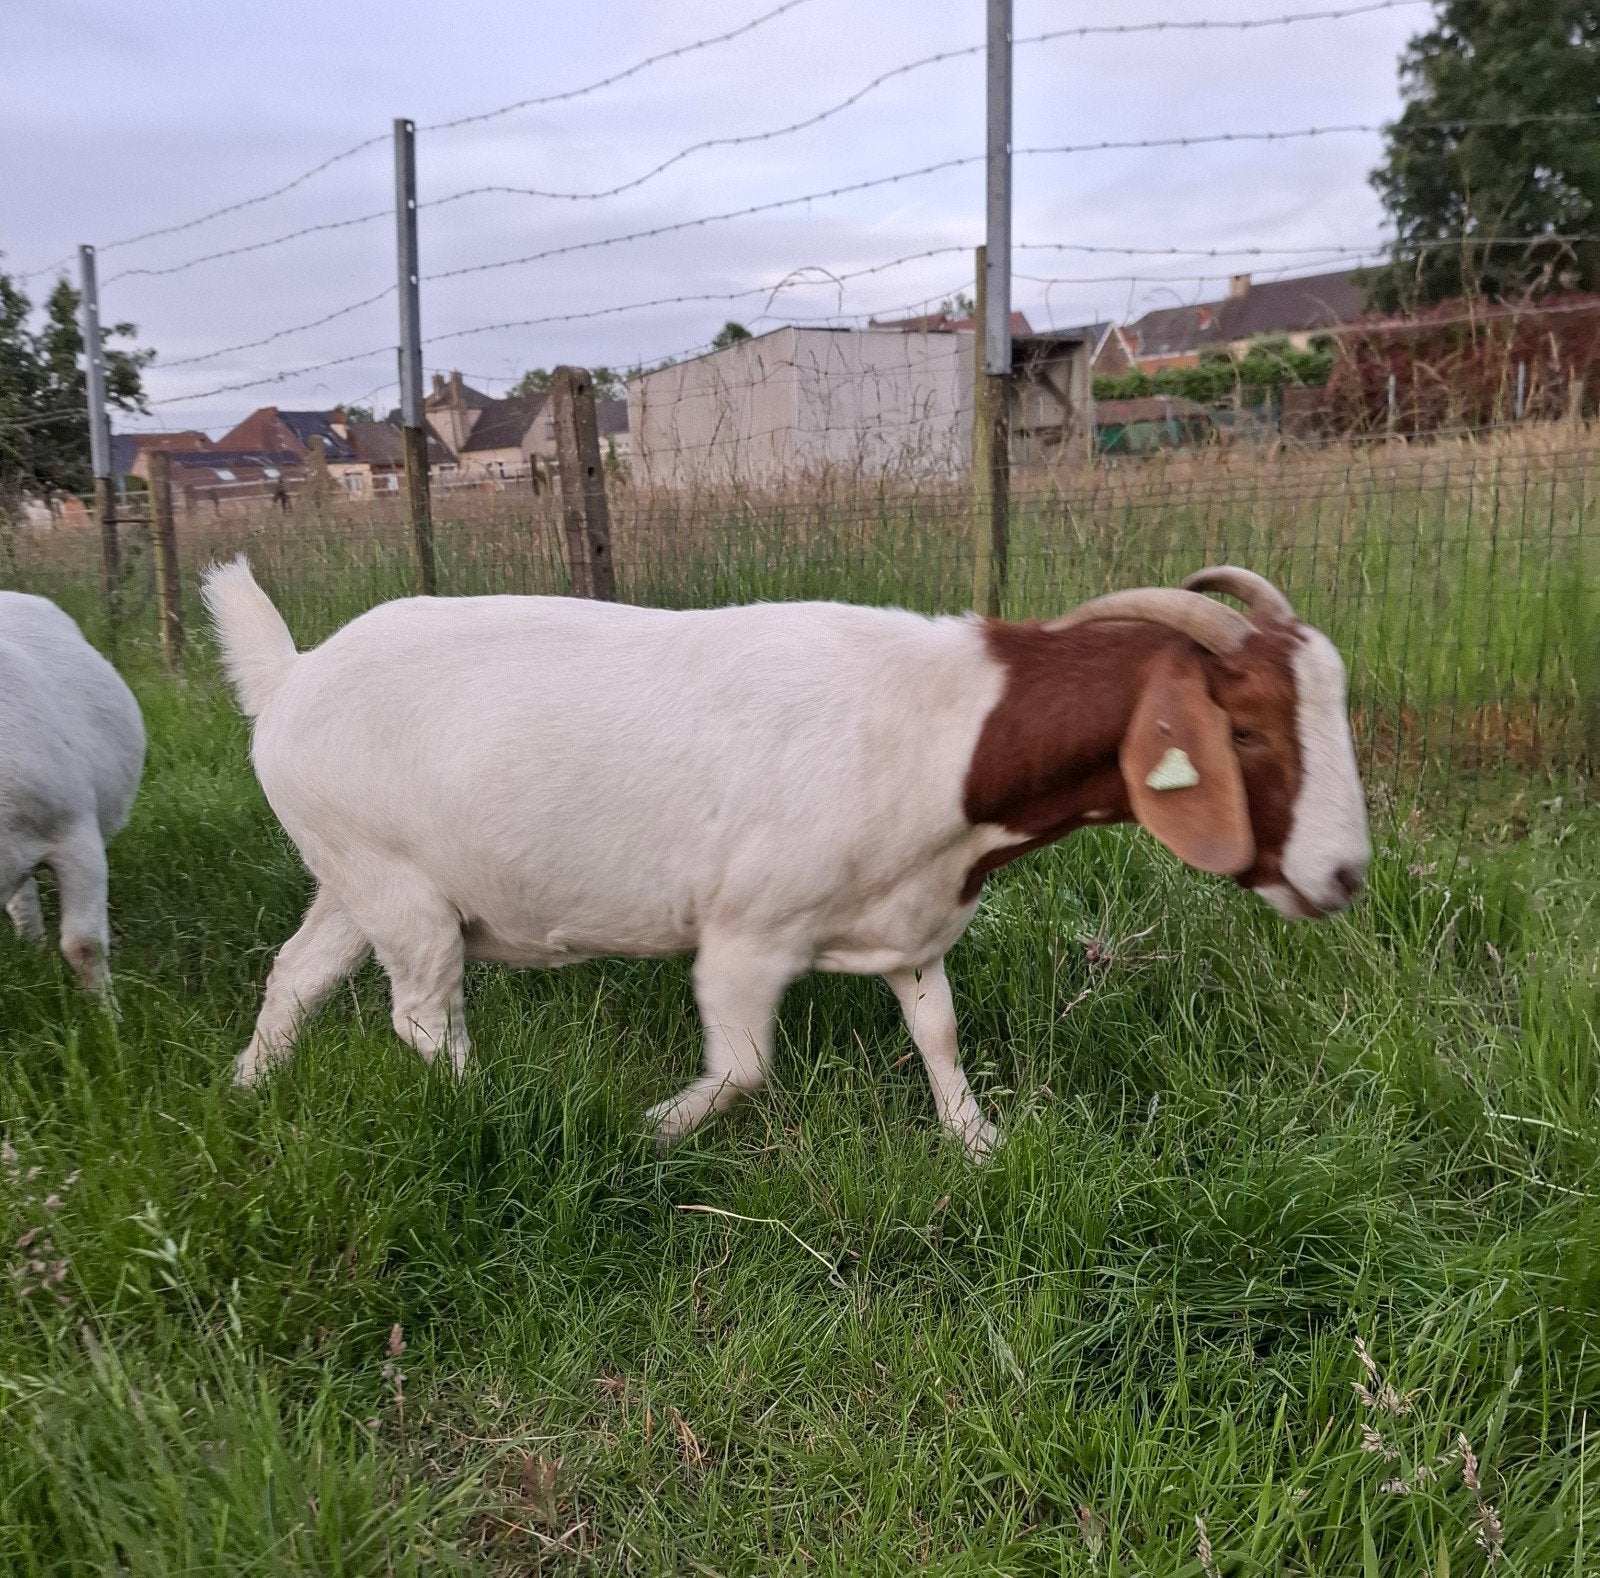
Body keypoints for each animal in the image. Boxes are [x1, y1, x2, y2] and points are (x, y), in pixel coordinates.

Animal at [203, 559, 1369, 1157]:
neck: (947, 732)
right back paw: (479, 1109)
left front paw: (977, 1142)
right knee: (422, 1015)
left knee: (297, 975)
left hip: (350, 877)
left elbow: (939, 1033)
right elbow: (745, 1067)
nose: (1346, 876)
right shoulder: (746, 935)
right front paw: (651, 1129)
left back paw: (246, 1089)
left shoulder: (909, 923)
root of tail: (288, 677)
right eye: (1247, 731)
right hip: (396, 885)